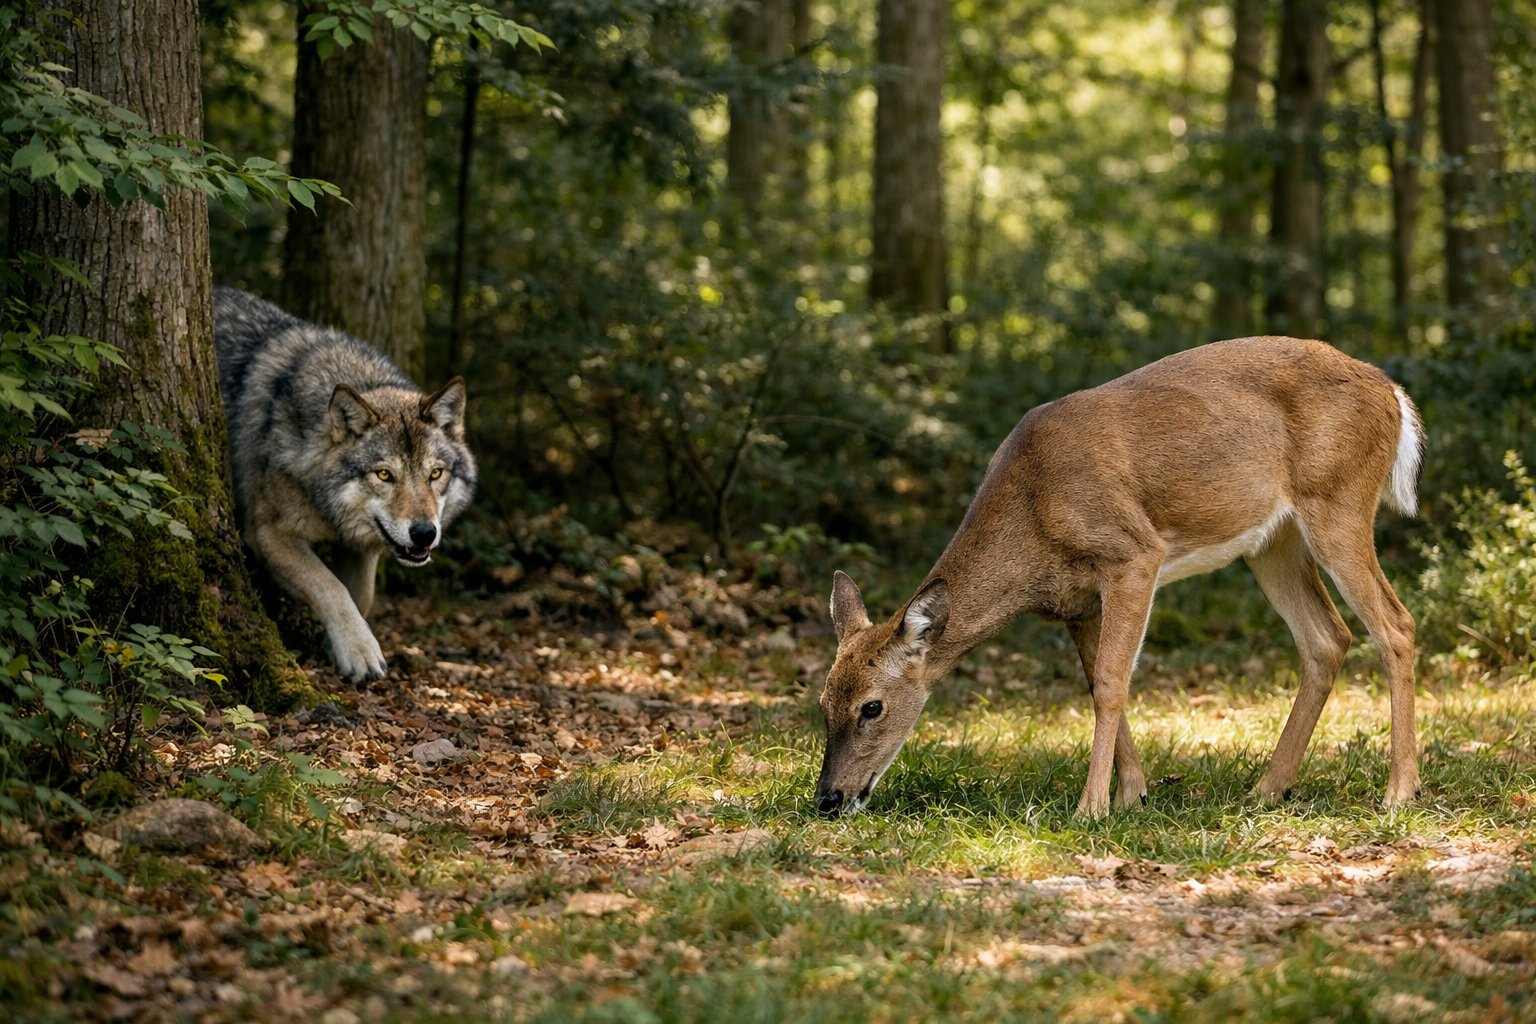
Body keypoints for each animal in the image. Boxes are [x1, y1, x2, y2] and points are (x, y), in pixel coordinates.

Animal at [213, 288, 477, 681]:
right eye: (384, 475)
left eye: (435, 474)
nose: (424, 534)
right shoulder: (267, 534)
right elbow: (330, 586)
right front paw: (358, 650)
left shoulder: (362, 548)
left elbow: (361, 596)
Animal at [814, 336, 1425, 819]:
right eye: (821, 703)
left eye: (872, 706)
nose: (828, 799)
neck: (1034, 514)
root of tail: (1392, 391)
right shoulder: (1077, 601)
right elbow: (1099, 683)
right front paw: (1133, 795)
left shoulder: (1133, 555)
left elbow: (1112, 681)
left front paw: (1091, 807)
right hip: (1272, 542)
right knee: (1326, 638)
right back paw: (1268, 788)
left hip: (1338, 501)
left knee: (1395, 624)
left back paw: (1399, 791)